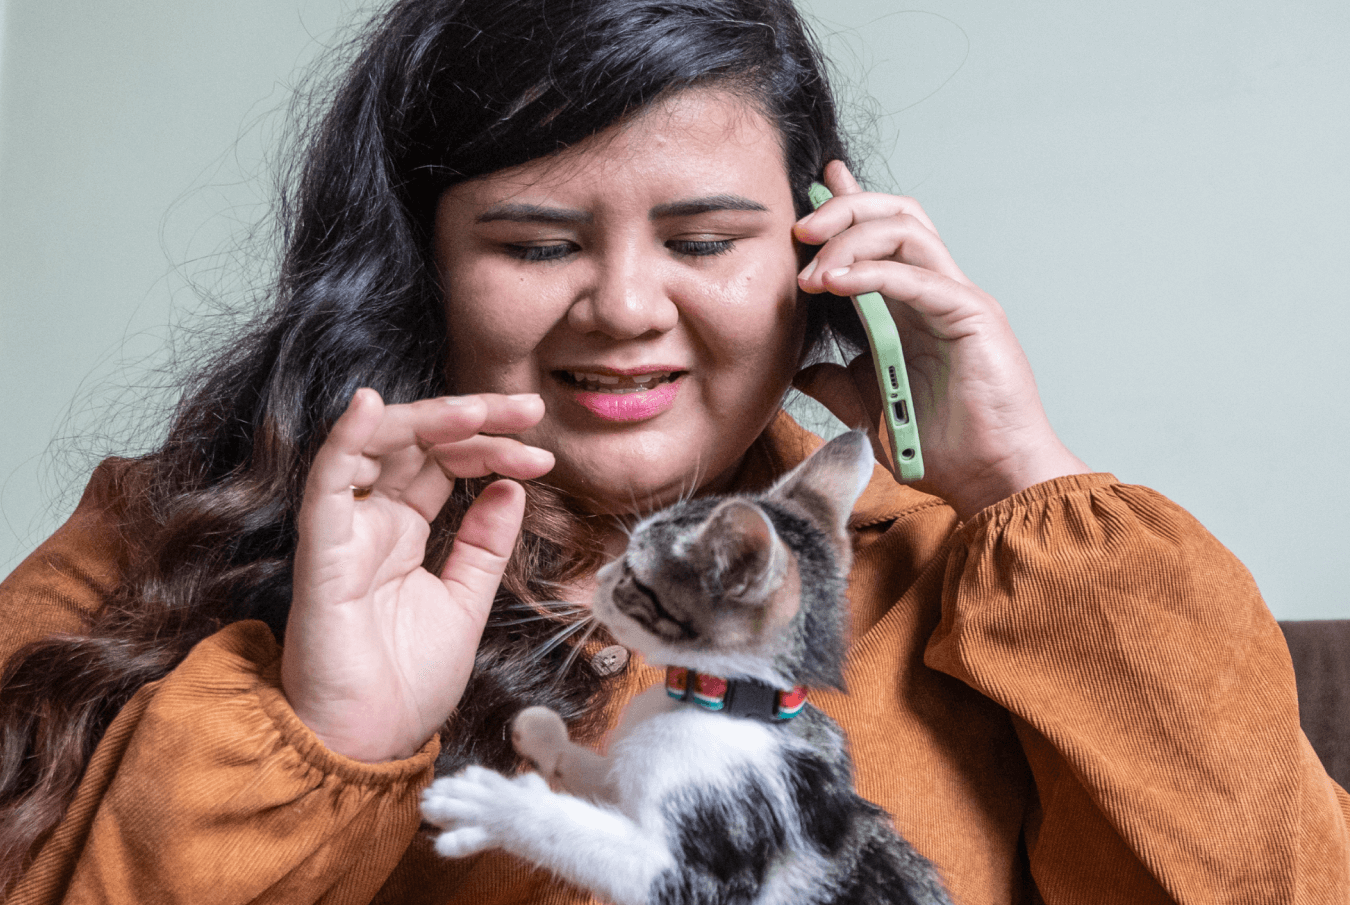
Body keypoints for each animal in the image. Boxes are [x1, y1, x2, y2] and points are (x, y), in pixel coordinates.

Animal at [421, 429, 950, 905]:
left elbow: (583, 837)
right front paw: (542, 734)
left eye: (632, 577)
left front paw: (492, 805)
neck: (721, 702)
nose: (601, 576)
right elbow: (603, 779)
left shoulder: (704, 871)